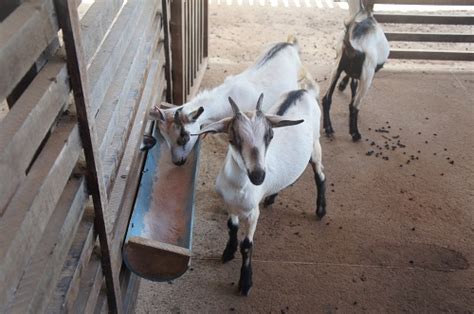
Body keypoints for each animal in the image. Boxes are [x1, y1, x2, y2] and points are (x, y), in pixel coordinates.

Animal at [194, 82, 328, 296]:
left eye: (270, 136)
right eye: (233, 139)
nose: (258, 176)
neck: (238, 186)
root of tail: (301, 91)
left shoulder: (252, 213)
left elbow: (247, 245)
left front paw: (245, 283)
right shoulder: (229, 204)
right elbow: (231, 227)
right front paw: (227, 252)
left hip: (315, 145)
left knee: (320, 175)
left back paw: (321, 210)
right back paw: (272, 196)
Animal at [322, 0, 388, 141]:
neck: (361, 14)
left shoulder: (352, 72)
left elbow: (352, 85)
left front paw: (342, 85)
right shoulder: (362, 74)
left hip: (336, 67)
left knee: (326, 98)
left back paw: (328, 128)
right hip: (368, 75)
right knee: (355, 106)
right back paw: (355, 134)